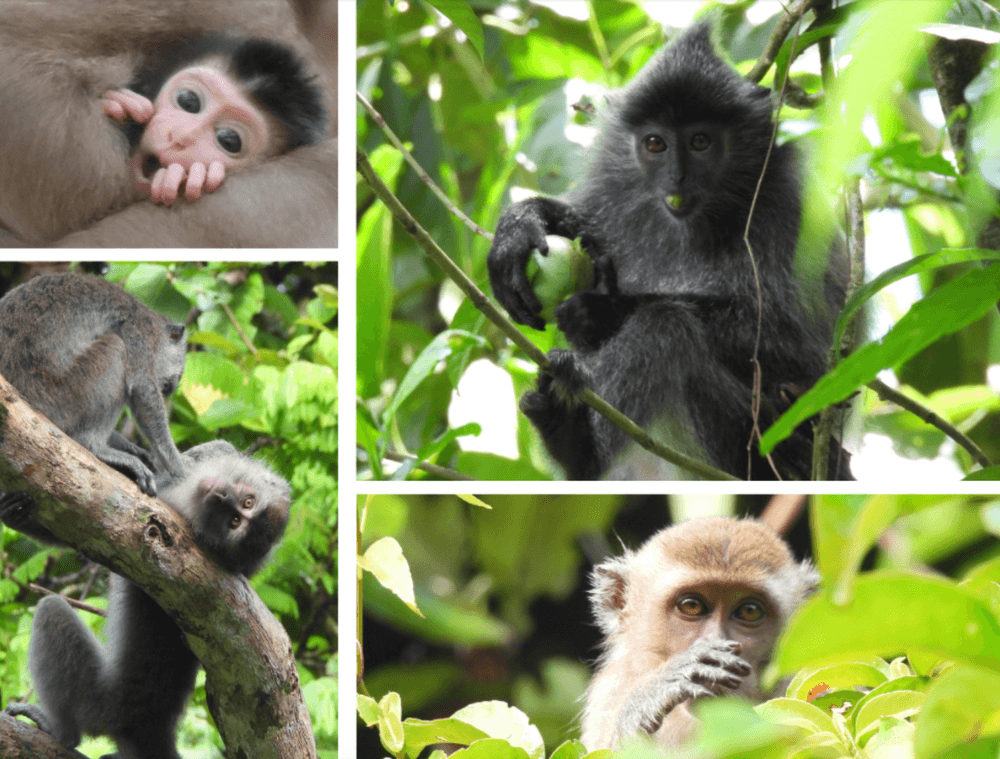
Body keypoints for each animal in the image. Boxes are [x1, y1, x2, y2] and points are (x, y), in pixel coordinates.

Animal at [0, 272, 186, 528]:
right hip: (64, 398)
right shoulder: (139, 330)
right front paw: (182, 472)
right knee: (117, 347)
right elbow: (143, 390)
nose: (176, 384)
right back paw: (94, 447)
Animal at [3, 440, 292, 759]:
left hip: (99, 705)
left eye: (235, 520)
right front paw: (15, 511)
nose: (222, 496)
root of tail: (152, 727)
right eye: (246, 505)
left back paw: (62, 732)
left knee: (51, 610)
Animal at [486, 24, 852, 481]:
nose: (677, 177)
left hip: (758, 449)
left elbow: (803, 354)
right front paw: (522, 225)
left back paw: (576, 442)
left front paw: (601, 309)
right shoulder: (614, 195)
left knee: (667, 324)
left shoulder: (790, 210)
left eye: (700, 141)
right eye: (655, 144)